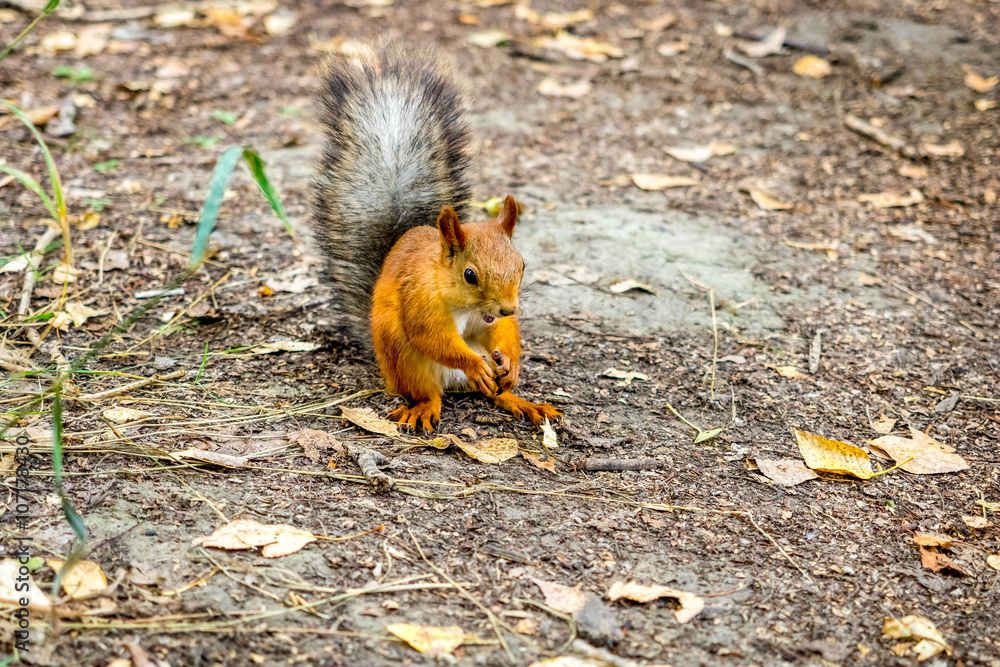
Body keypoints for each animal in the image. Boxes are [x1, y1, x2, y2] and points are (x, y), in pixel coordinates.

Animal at [310, 47, 560, 434]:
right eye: (470, 275)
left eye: (522, 266)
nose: (508, 308)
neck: (464, 305)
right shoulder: (420, 302)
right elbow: (433, 338)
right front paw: (473, 363)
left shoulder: (494, 320)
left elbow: (505, 333)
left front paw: (513, 363)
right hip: (406, 360)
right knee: (428, 391)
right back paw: (427, 406)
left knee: (495, 394)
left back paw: (522, 401)